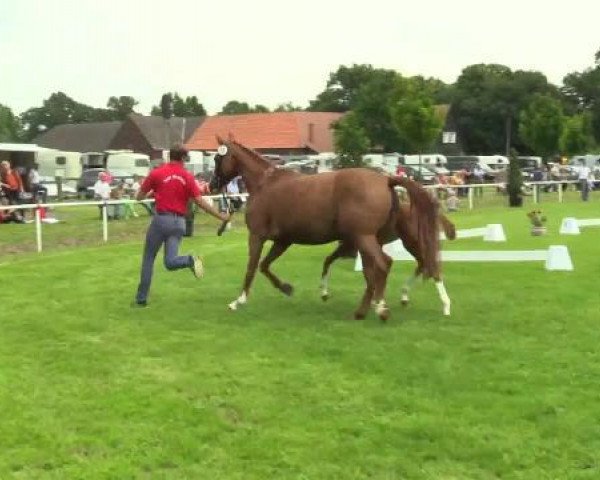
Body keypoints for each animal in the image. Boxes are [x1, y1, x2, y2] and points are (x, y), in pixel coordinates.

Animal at [209, 137, 438, 320]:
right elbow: (264, 266)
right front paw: (287, 288)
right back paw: (363, 310)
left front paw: (238, 301)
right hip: (367, 240)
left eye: (218, 159)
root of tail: (386, 180)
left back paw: (380, 309)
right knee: (373, 272)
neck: (264, 185)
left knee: (383, 265)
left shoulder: (257, 236)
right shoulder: (283, 240)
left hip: (364, 237)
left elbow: (251, 268)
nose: (211, 185)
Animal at [318, 204, 454, 316]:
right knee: (423, 264)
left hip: (414, 243)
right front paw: (377, 302)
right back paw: (404, 296)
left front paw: (324, 293)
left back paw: (446, 306)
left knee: (432, 268)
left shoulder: (349, 245)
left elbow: (328, 260)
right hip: (412, 245)